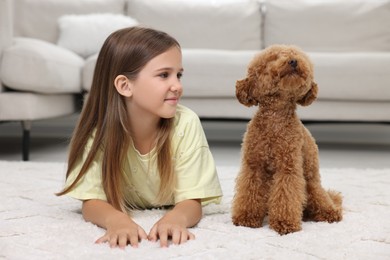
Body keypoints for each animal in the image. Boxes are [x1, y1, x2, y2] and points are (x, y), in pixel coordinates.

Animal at [232, 44, 342, 236]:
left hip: (312, 186)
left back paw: (330, 213)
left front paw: (284, 223)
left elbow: (286, 196)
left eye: (298, 55)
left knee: (323, 201)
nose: (293, 61)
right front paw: (246, 218)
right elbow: (249, 192)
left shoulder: (288, 167)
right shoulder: (253, 166)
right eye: (274, 58)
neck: (275, 118)